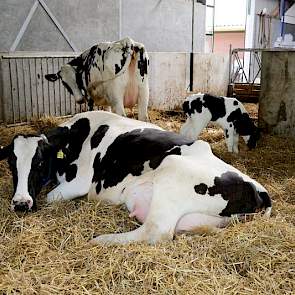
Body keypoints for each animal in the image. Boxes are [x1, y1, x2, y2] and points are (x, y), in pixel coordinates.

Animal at [0, 111, 272, 245]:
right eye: (12, 164)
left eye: (39, 163)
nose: (21, 204)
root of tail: (259, 189)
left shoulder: (79, 182)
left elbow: (51, 197)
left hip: (172, 172)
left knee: (155, 232)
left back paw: (100, 240)